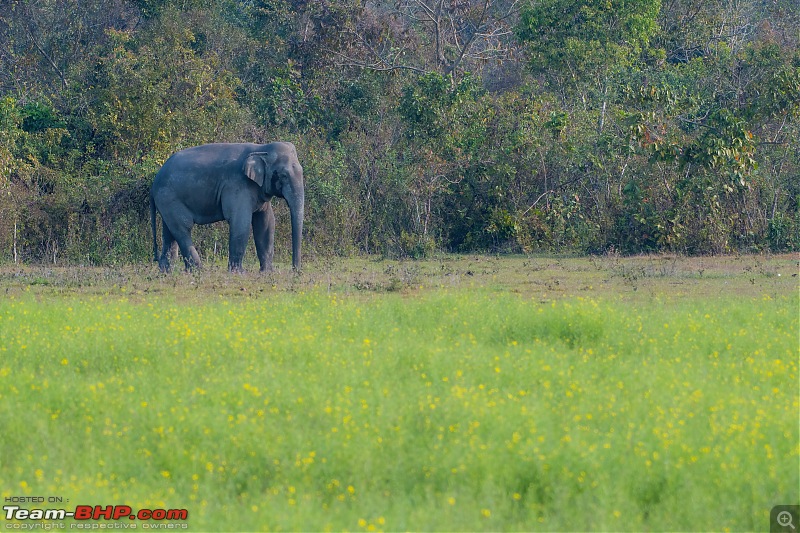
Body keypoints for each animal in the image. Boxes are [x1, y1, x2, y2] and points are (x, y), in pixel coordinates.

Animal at [149, 141, 304, 272]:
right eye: (283, 175)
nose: (295, 271)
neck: (261, 148)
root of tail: (155, 181)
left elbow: (266, 222)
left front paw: (267, 273)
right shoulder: (238, 184)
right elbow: (240, 222)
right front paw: (239, 273)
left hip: (167, 202)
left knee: (169, 232)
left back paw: (168, 272)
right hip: (169, 198)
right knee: (183, 228)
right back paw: (199, 271)